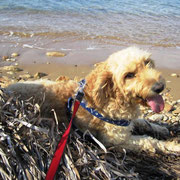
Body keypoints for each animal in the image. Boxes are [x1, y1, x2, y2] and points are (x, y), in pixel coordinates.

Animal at [6, 47, 179, 154]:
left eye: (147, 62)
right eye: (129, 75)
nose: (160, 87)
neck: (114, 97)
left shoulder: (127, 121)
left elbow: (144, 122)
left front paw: (161, 128)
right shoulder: (116, 140)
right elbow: (150, 141)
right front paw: (172, 146)